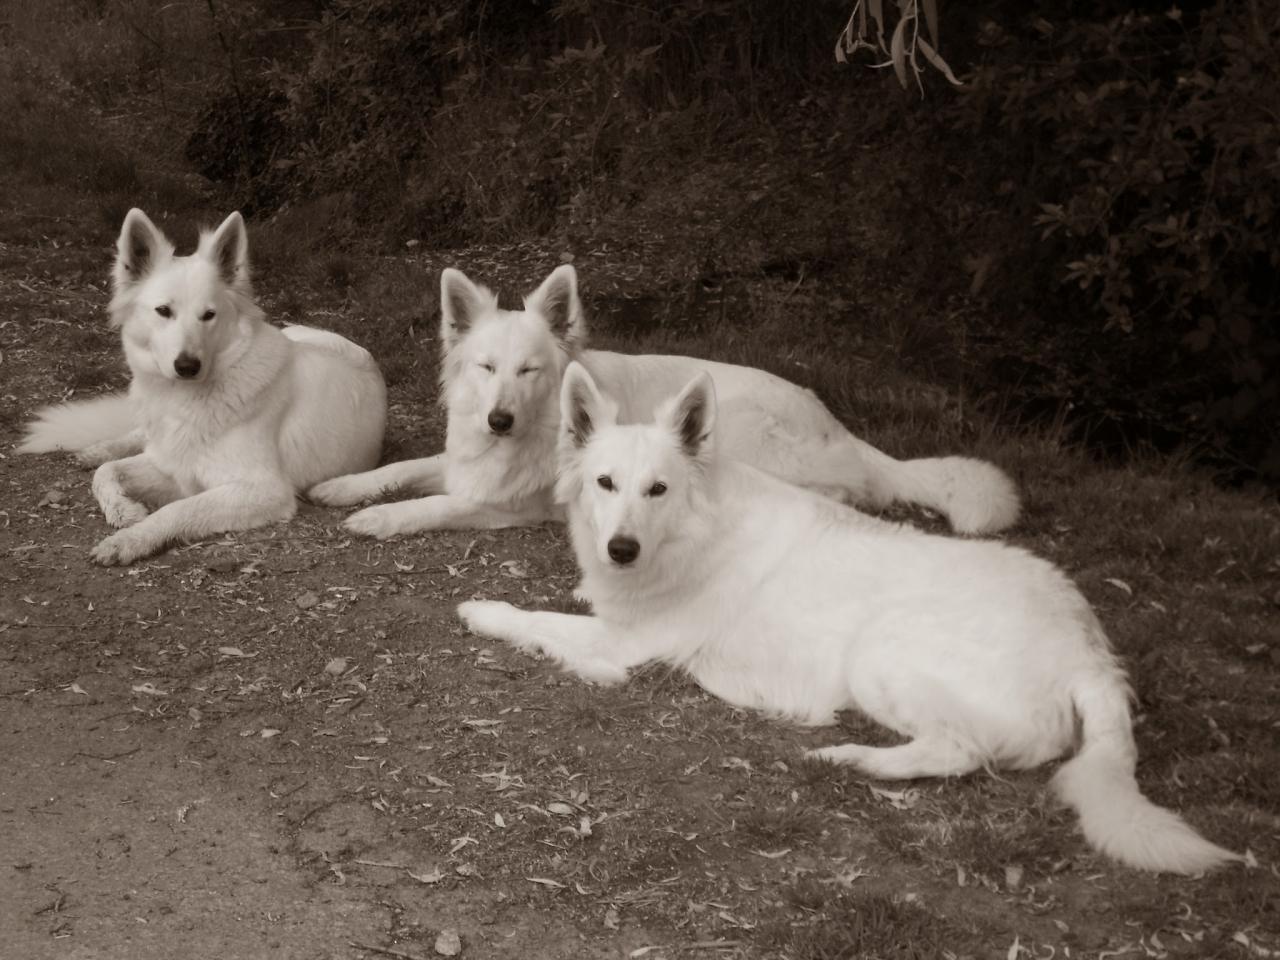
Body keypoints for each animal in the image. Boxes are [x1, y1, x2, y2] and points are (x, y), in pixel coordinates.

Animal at [18, 208, 384, 563]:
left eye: (209, 315)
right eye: (163, 311)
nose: (187, 366)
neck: (183, 400)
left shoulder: (263, 490)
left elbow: (176, 509)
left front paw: (129, 541)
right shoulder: (173, 466)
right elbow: (107, 473)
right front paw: (123, 510)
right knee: (132, 439)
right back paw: (99, 449)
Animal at [309, 267, 1018, 537]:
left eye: (529, 370)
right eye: (486, 367)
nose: (499, 419)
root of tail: (838, 426)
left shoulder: (514, 504)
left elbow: (438, 504)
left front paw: (381, 519)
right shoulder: (466, 460)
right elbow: (402, 469)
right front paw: (344, 487)